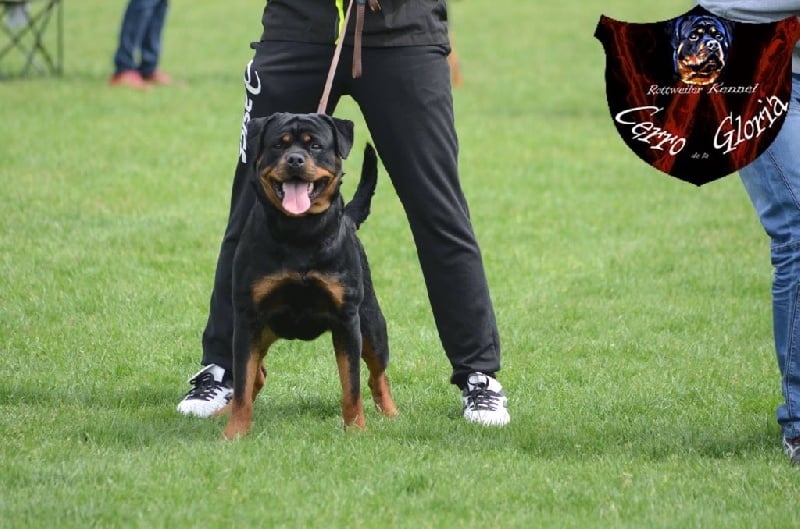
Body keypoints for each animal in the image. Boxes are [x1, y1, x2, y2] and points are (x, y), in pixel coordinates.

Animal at [221, 112, 398, 440]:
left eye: (315, 145)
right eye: (279, 145)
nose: (294, 160)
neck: (299, 232)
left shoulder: (347, 320)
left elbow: (352, 385)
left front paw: (356, 429)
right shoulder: (248, 317)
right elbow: (241, 385)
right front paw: (235, 432)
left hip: (372, 324)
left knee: (377, 374)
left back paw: (391, 413)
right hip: (256, 331)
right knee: (254, 374)